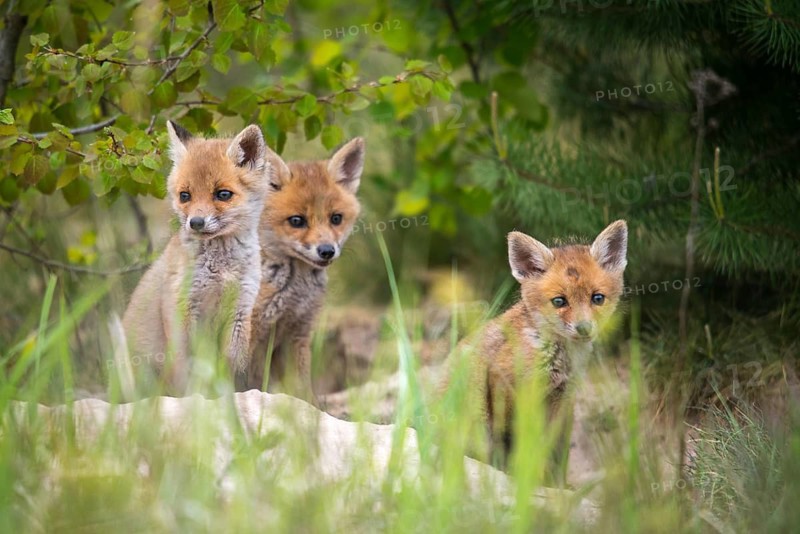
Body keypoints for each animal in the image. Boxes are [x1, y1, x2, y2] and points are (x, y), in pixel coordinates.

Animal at [122, 121, 271, 393]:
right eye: (185, 196)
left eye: (222, 194)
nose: (196, 222)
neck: (221, 270)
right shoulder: (182, 305)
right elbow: (189, 367)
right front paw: (194, 397)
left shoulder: (240, 309)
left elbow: (232, 367)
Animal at [242, 137, 366, 406]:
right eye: (297, 221)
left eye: (336, 218)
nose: (327, 251)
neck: (294, 293)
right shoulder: (250, 330)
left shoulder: (298, 333)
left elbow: (302, 390)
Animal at [441, 220, 628, 475]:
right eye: (559, 301)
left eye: (597, 298)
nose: (583, 328)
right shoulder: (504, 384)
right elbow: (515, 442)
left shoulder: (561, 398)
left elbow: (549, 449)